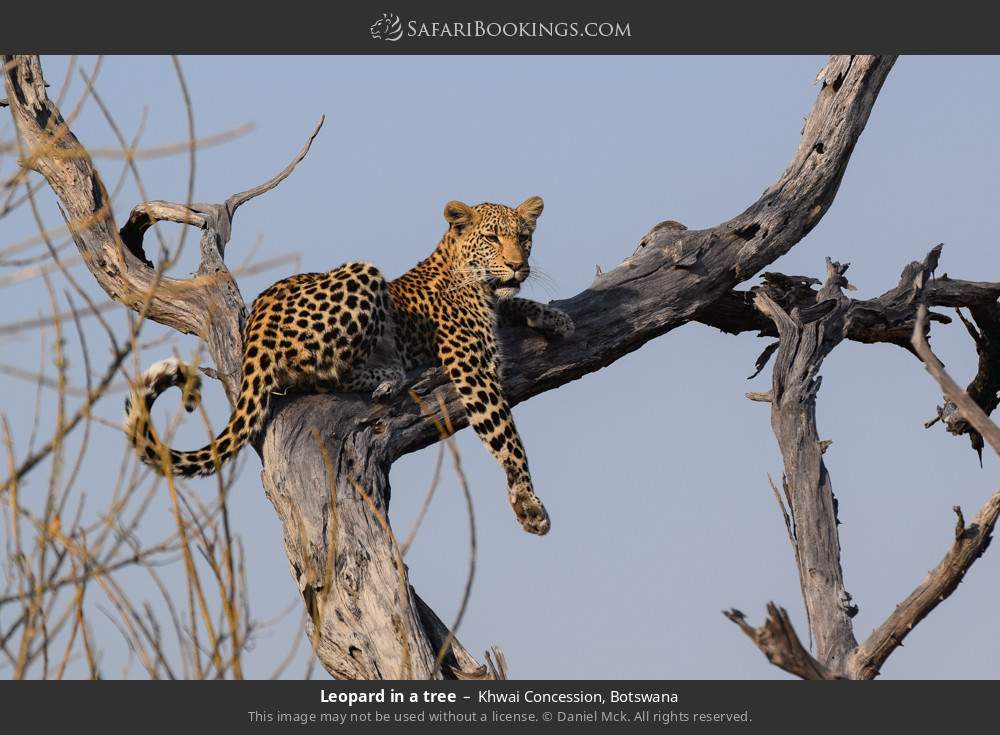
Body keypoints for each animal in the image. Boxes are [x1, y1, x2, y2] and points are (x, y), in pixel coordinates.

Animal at [125, 197, 576, 536]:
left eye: (524, 238)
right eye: (492, 237)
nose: (518, 265)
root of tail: (256, 326)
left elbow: (513, 302)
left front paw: (555, 317)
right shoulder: (472, 368)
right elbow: (506, 435)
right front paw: (528, 503)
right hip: (362, 273)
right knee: (322, 370)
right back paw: (388, 376)